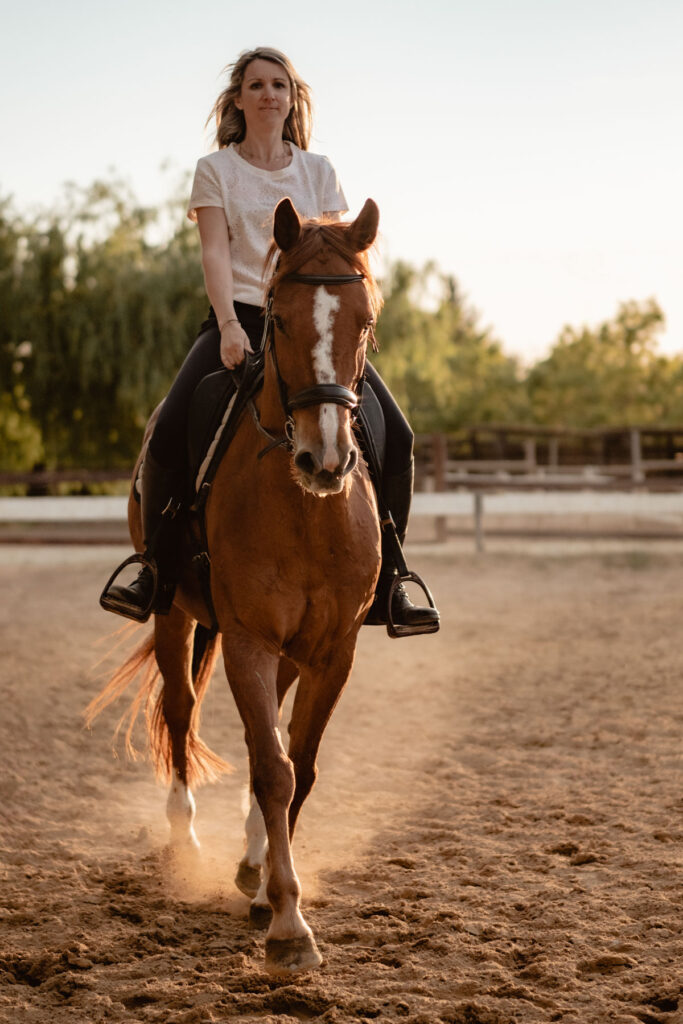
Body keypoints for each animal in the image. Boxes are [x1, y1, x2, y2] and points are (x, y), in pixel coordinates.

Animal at [87, 197, 384, 975]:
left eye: (364, 320)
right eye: (277, 320)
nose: (324, 459)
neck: (306, 512)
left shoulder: (334, 650)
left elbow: (295, 766)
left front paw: (267, 888)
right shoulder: (248, 638)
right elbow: (273, 770)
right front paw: (288, 926)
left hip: (289, 650)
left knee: (264, 736)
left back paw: (249, 858)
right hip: (174, 617)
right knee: (180, 710)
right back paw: (185, 837)